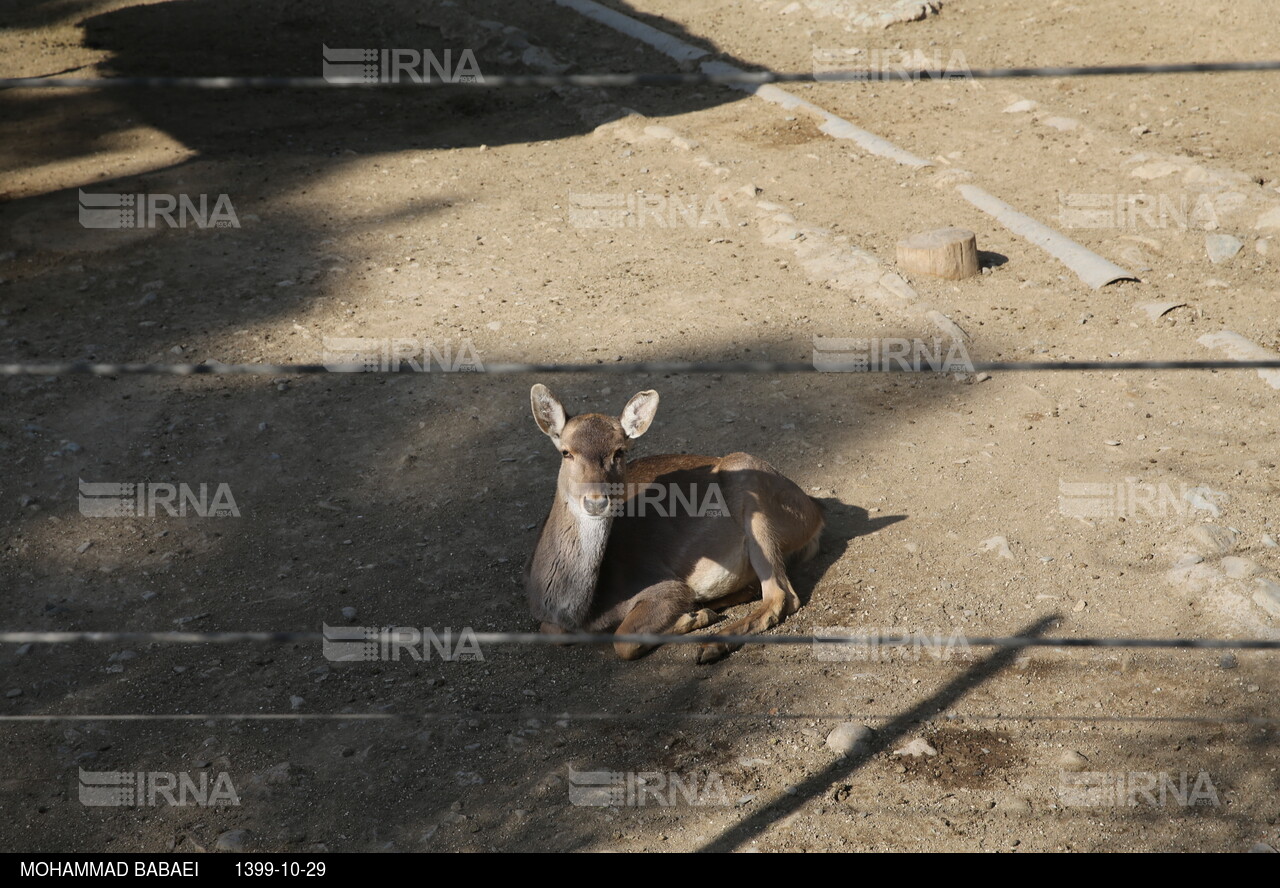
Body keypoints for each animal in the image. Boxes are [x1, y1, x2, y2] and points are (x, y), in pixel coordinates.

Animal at [524, 386, 824, 665]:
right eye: (566, 452)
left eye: (619, 451)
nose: (596, 500)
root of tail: (815, 515)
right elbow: (551, 632)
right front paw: (695, 614)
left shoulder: (661, 585)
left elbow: (624, 639)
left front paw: (693, 618)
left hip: (755, 499)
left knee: (781, 596)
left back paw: (709, 644)